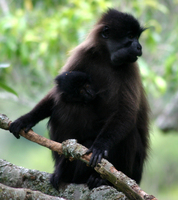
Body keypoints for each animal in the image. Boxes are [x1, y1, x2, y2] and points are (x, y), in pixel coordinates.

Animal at [9, 9, 150, 189]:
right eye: (131, 36)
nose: (139, 46)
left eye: (136, 37)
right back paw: (64, 170)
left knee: (128, 131)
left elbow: (126, 113)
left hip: (134, 171)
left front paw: (100, 146)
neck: (106, 58)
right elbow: (56, 93)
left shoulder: (130, 67)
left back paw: (101, 179)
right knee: (66, 103)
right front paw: (25, 119)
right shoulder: (83, 54)